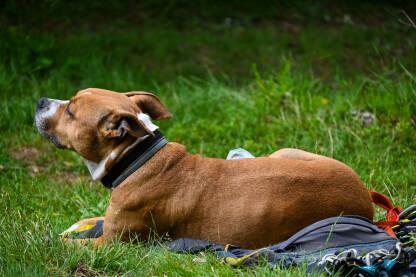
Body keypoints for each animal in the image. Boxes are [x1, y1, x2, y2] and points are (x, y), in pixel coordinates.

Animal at [35, 87, 374, 247]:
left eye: (71, 112)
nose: (39, 100)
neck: (137, 156)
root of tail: (367, 202)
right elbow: (90, 222)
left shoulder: (111, 245)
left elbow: (66, 246)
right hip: (284, 152)